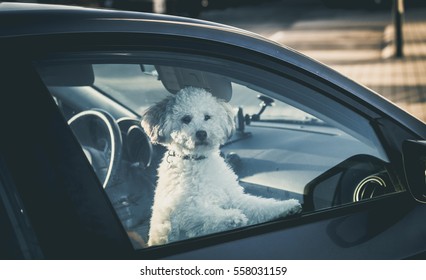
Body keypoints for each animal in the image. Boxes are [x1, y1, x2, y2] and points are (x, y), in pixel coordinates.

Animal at [143, 87, 302, 245]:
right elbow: (206, 214)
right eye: (186, 119)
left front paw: (286, 206)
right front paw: (231, 218)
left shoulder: (235, 198)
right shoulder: (180, 211)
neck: (198, 161)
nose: (202, 133)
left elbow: (260, 206)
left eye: (207, 117)